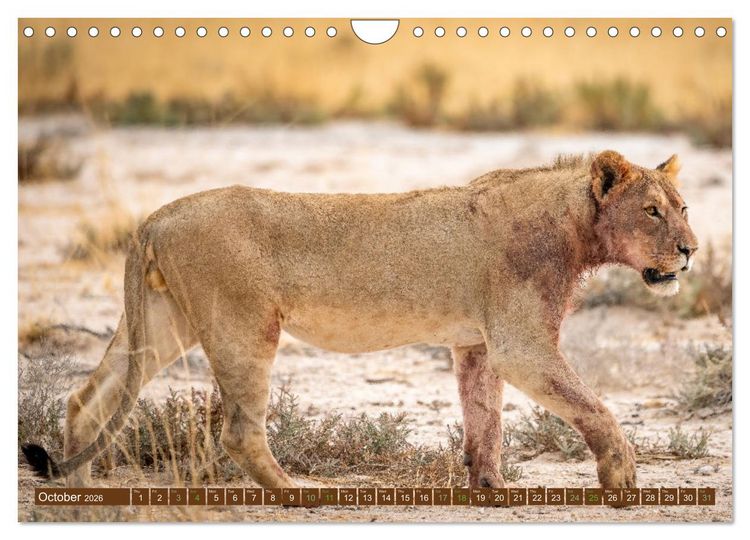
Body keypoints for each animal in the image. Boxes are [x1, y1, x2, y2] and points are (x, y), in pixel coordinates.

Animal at [23, 150, 697, 490]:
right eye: (652, 211)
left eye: (683, 208)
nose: (690, 250)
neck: (574, 226)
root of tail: (154, 218)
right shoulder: (521, 344)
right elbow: (593, 405)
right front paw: (622, 475)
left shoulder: (478, 345)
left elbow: (485, 420)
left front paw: (492, 489)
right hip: (243, 325)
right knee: (238, 431)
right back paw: (297, 494)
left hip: (165, 324)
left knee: (87, 398)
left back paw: (81, 495)